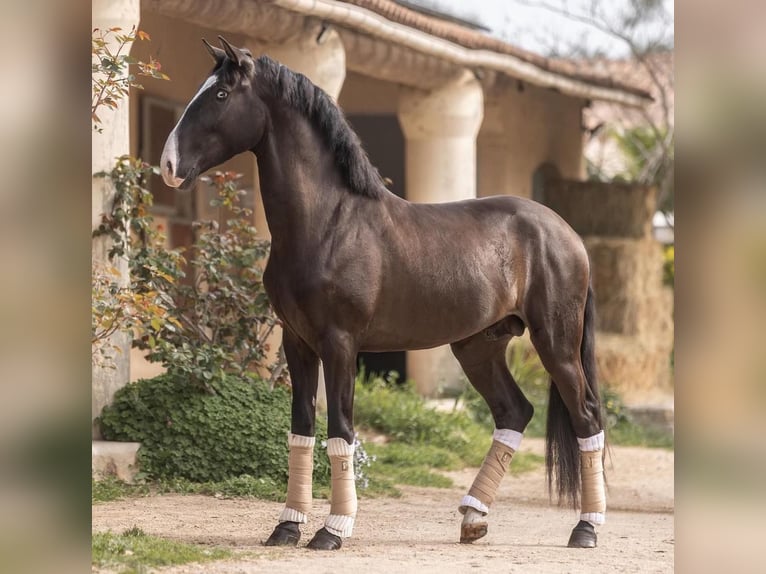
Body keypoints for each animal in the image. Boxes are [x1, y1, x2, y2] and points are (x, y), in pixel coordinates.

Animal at [160, 36, 608, 552]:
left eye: (220, 95)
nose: (168, 165)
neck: (328, 223)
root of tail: (568, 234)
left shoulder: (340, 344)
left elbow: (341, 431)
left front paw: (332, 531)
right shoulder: (297, 343)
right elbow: (300, 430)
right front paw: (287, 527)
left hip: (556, 343)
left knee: (587, 417)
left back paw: (586, 528)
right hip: (478, 346)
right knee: (515, 411)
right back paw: (473, 518)